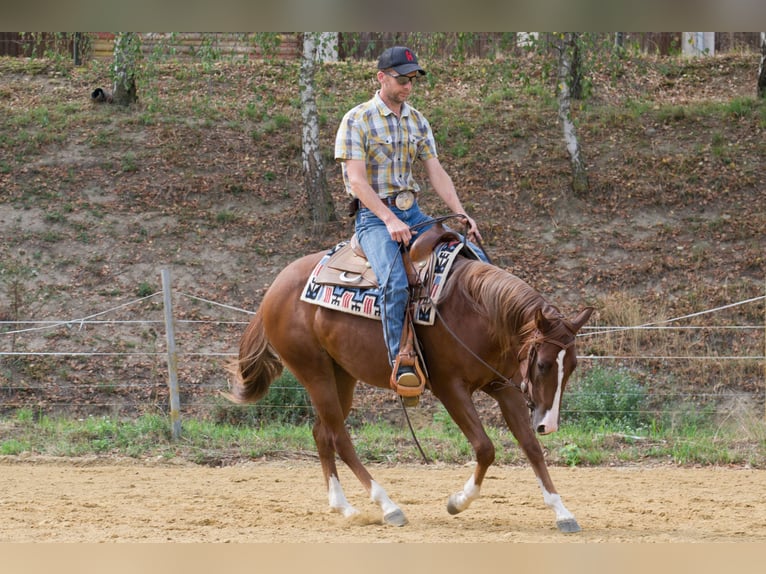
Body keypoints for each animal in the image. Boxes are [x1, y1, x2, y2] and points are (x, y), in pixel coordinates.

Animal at [228, 245, 592, 532]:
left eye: (572, 365)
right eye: (543, 364)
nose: (549, 424)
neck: (479, 310)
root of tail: (274, 288)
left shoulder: (504, 387)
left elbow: (531, 447)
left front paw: (562, 512)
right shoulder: (450, 388)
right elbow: (486, 448)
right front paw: (457, 502)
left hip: (341, 375)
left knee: (322, 433)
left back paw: (343, 507)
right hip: (314, 373)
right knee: (340, 437)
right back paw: (388, 506)